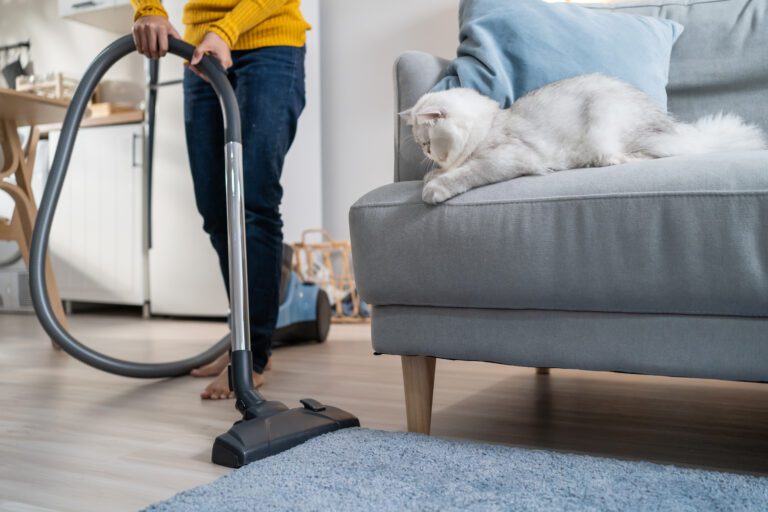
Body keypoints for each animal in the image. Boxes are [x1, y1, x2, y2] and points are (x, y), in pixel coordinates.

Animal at [402, 73, 768, 204]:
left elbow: (466, 172)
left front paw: (434, 187)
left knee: (636, 156)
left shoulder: (508, 156)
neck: (491, 123)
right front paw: (433, 176)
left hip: (607, 122)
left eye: (426, 143)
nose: (428, 154)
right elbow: (452, 170)